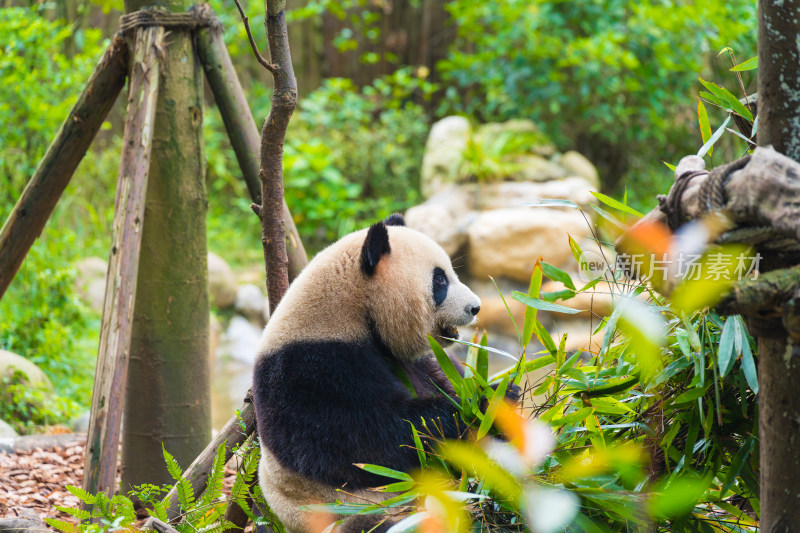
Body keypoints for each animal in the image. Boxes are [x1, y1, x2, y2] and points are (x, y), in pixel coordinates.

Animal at [253, 213, 484, 532]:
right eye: (440, 280)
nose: (475, 307)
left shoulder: (415, 360)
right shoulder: (311, 369)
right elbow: (367, 443)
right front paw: (472, 406)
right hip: (353, 511)